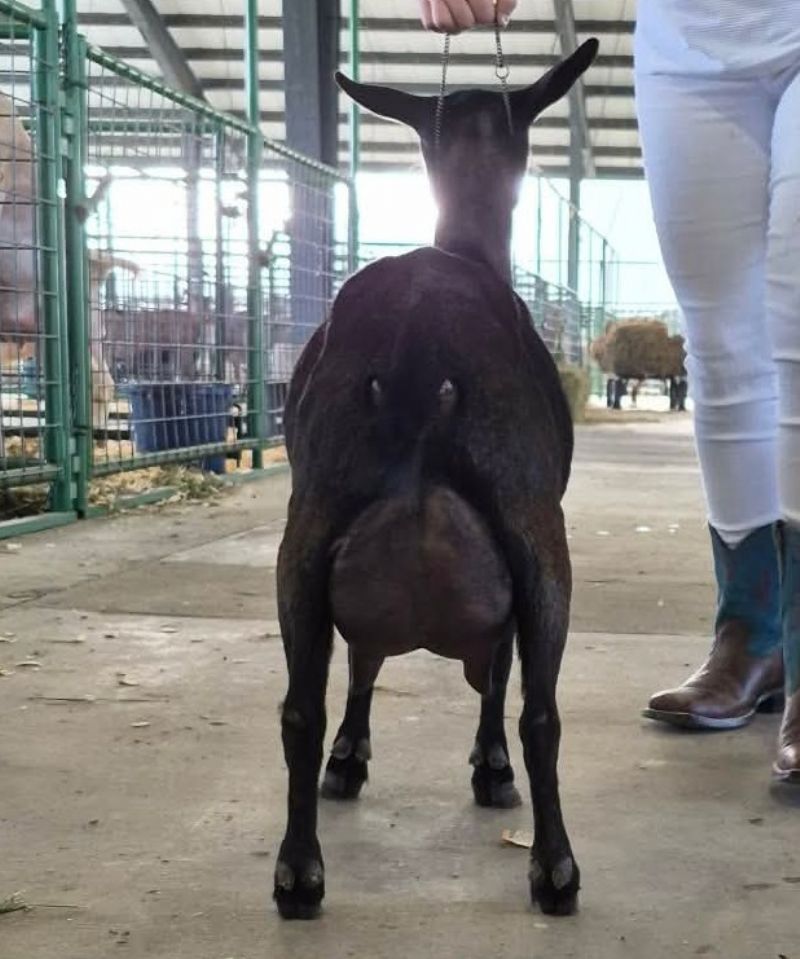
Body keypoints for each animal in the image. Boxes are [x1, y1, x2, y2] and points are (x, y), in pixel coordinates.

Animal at [273, 39, 598, 921]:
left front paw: (350, 758)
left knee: (301, 703)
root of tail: (421, 339)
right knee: (542, 710)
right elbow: (499, 674)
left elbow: (362, 661)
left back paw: (297, 870)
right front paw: (488, 767)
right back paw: (555, 867)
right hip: (536, 532)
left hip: (308, 529)